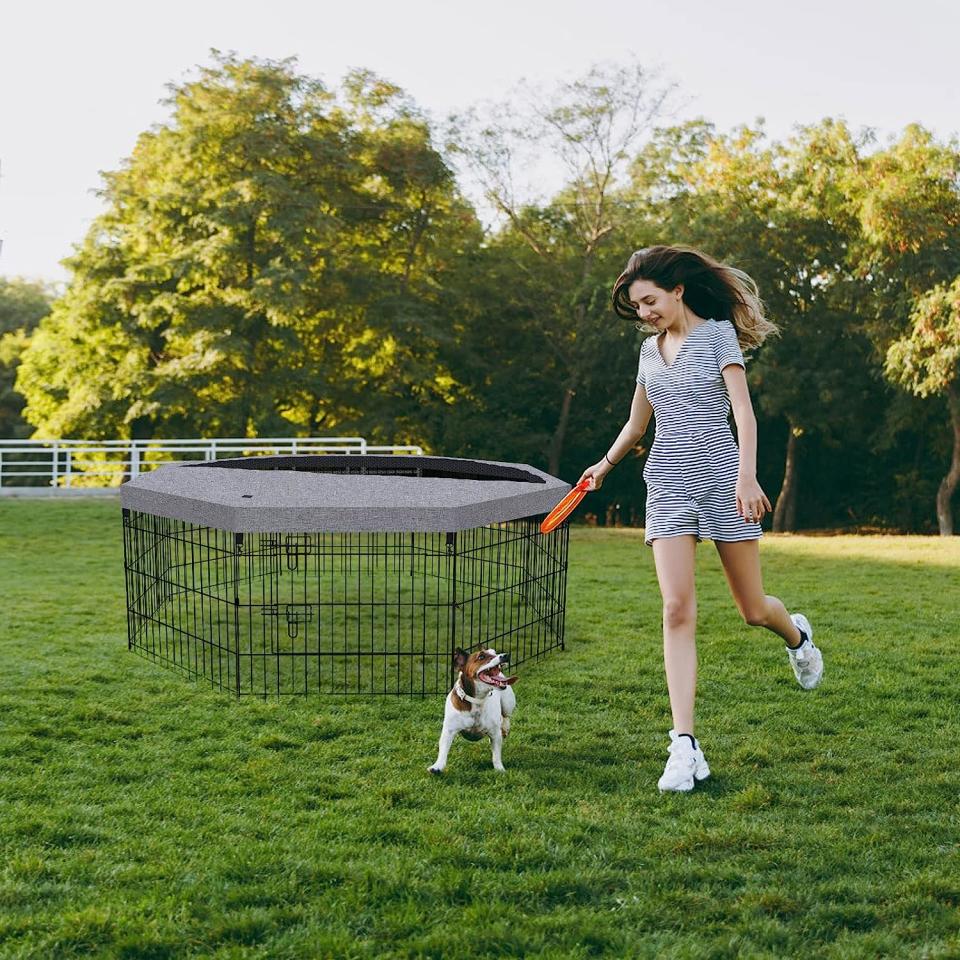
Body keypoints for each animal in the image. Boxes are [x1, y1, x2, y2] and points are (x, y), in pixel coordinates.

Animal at [428, 644, 516, 772]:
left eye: (494, 653)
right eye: (481, 656)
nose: (505, 655)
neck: (477, 700)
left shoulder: (495, 734)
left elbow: (496, 755)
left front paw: (499, 769)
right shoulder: (449, 731)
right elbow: (443, 750)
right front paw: (437, 766)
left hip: (508, 703)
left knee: (506, 715)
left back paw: (505, 727)